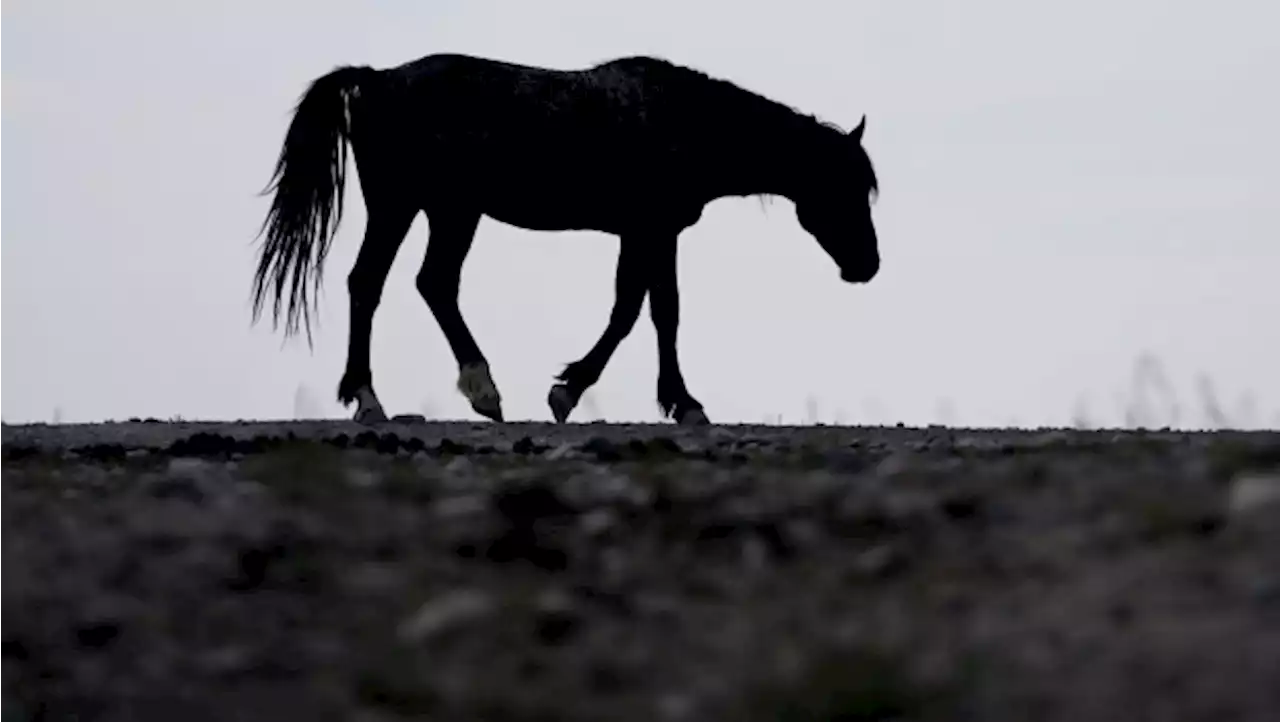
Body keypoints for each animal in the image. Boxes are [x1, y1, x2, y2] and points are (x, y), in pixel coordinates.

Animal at [254, 53, 885, 425]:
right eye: (844, 187)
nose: (867, 266)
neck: (683, 120)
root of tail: (375, 79)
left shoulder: (650, 234)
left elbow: (650, 310)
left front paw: (660, 398)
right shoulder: (650, 230)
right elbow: (642, 312)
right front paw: (590, 393)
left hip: (443, 211)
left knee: (421, 284)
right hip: (410, 208)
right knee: (380, 283)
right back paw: (388, 396)